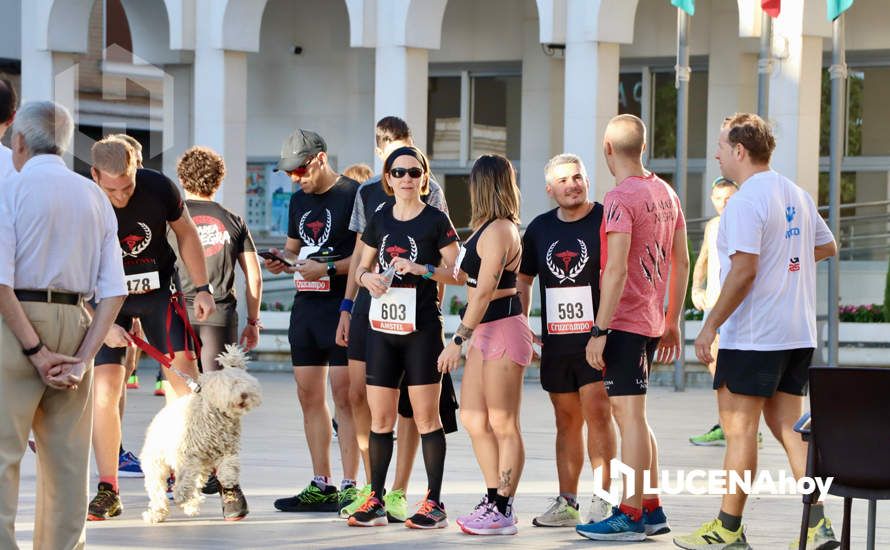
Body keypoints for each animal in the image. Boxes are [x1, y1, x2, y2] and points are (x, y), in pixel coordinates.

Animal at [140, 348, 262, 524]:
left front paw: (228, 479)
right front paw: (180, 494)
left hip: (201, 465)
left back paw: (190, 505)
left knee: (196, 484)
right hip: (156, 462)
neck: (216, 415)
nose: (245, 394)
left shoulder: (227, 447)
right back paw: (157, 512)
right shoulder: (188, 455)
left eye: (247, 383)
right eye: (231, 384)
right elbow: (185, 476)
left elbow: (229, 463)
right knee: (158, 490)